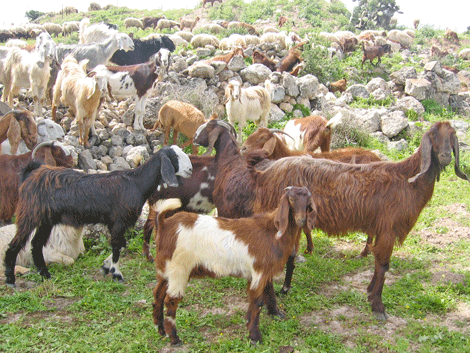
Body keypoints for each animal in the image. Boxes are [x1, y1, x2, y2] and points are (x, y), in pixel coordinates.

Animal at [3, 145, 191, 286]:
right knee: (15, 244)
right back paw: (11, 280)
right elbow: (117, 247)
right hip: (30, 213)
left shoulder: (115, 222)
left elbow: (121, 245)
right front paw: (117, 274)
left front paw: (106, 267)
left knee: (36, 244)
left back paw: (45, 275)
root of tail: (31, 175)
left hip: (46, 219)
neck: (137, 183)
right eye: (175, 156)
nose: (190, 169)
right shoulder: (119, 220)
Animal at [152, 187, 318, 344]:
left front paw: (274, 315)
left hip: (165, 269)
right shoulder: (259, 271)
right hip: (179, 269)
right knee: (170, 301)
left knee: (158, 295)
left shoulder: (263, 271)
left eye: (308, 203)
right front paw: (255, 337)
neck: (272, 231)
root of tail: (164, 224)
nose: (301, 220)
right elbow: (257, 302)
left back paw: (161, 330)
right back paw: (174, 339)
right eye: (291, 199)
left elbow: (268, 292)